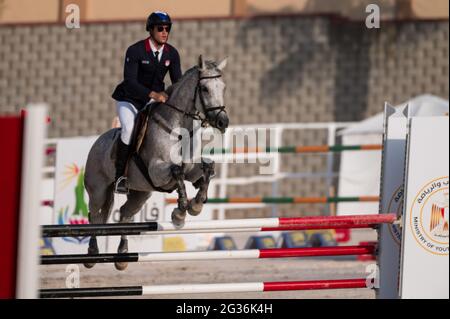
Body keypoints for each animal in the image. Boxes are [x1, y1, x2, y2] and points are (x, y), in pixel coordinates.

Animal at [83, 56, 229, 272]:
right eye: (204, 89)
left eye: (223, 87)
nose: (223, 122)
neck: (177, 129)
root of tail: (97, 142)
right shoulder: (157, 171)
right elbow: (176, 172)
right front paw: (180, 212)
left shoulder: (192, 170)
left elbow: (207, 170)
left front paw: (195, 205)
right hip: (98, 191)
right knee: (94, 216)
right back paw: (92, 254)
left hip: (140, 194)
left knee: (125, 214)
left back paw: (122, 255)